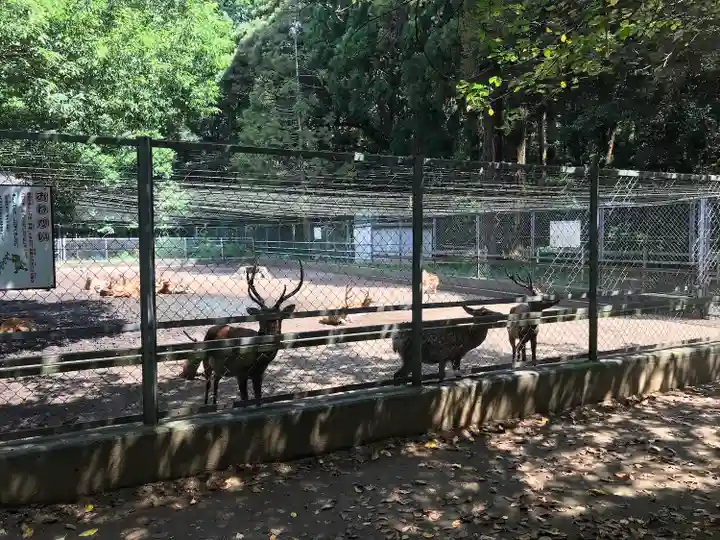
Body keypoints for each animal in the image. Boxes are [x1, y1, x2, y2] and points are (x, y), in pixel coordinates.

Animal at [180, 260, 305, 405]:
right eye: (259, 317)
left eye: (279, 317)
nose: (263, 332)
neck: (258, 360)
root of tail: (211, 329)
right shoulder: (240, 373)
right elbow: (245, 399)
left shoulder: (259, 375)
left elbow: (258, 399)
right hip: (207, 361)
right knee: (208, 382)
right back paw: (206, 404)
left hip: (220, 368)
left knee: (216, 380)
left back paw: (215, 403)